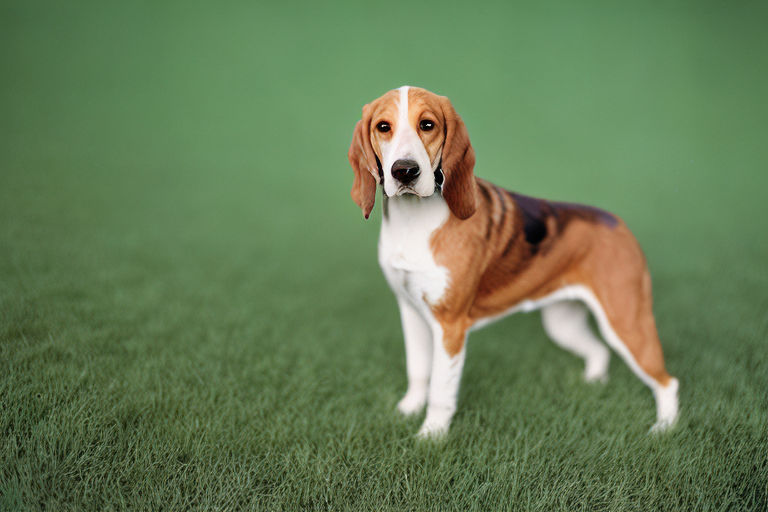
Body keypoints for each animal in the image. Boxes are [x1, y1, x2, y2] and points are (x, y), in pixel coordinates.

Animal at [348, 86, 680, 438]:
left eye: (427, 125)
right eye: (383, 127)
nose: (405, 170)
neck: (414, 222)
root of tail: (614, 221)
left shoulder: (449, 327)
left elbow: (440, 389)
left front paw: (431, 435)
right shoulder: (411, 312)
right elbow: (418, 371)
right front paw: (408, 410)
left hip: (627, 324)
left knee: (667, 382)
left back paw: (664, 428)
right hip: (563, 322)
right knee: (599, 351)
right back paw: (592, 384)